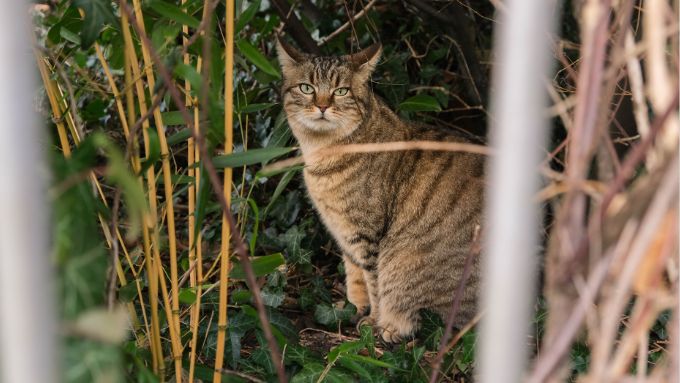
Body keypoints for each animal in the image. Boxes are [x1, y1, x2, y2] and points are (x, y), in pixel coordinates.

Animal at [274, 37, 486, 342]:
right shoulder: (345, 234)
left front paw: (372, 321)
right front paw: (352, 307)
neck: (321, 153)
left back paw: (390, 328)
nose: (323, 106)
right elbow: (354, 276)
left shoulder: (366, 235)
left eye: (341, 91)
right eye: (307, 88)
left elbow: (373, 283)